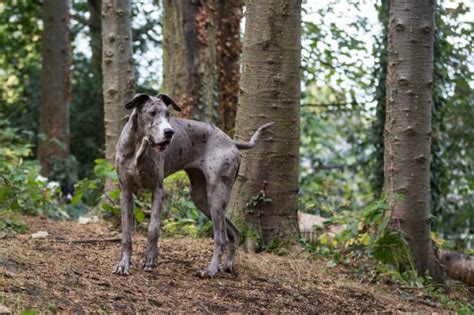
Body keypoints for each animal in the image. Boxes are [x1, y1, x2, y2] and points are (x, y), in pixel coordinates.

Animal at [112, 93, 272, 276]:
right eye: (152, 113)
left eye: (168, 114)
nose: (169, 132)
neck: (139, 145)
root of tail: (230, 140)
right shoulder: (125, 191)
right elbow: (126, 233)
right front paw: (123, 264)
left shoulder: (158, 190)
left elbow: (153, 229)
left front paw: (151, 259)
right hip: (201, 198)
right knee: (234, 233)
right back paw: (227, 265)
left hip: (216, 196)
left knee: (220, 238)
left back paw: (211, 269)